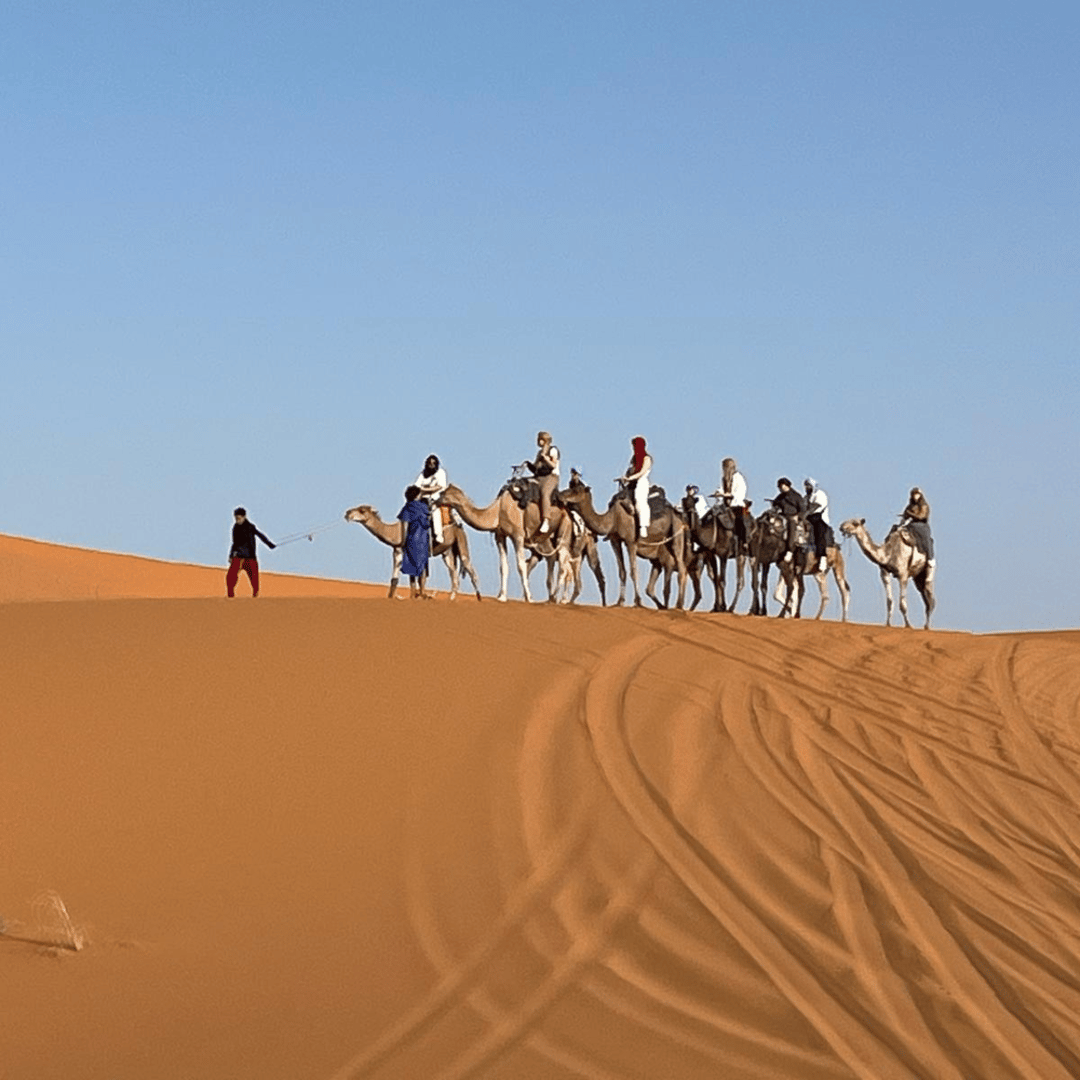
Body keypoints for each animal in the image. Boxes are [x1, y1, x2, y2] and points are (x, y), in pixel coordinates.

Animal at [344, 504, 482, 600]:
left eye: (362, 510)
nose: (347, 513)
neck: (398, 532)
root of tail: (457, 523)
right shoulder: (398, 552)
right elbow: (399, 579)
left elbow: (419, 578)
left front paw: (421, 597)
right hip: (447, 551)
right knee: (453, 573)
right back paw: (451, 598)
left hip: (461, 539)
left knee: (469, 567)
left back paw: (479, 598)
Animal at [439, 482, 574, 603]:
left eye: (443, 494)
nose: (435, 501)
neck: (498, 511)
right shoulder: (500, 536)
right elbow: (503, 566)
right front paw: (502, 597)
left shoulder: (518, 535)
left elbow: (521, 565)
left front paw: (529, 598)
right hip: (544, 537)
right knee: (551, 557)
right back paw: (551, 598)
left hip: (565, 528)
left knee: (563, 566)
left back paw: (556, 597)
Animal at [557, 483, 688, 609]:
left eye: (575, 491)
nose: (559, 495)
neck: (613, 518)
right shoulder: (615, 540)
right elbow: (622, 571)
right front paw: (620, 601)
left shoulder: (631, 542)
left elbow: (633, 571)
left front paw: (638, 602)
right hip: (664, 543)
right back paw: (667, 606)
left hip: (677, 532)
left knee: (681, 568)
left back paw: (679, 605)